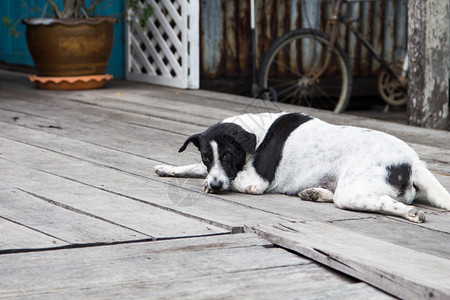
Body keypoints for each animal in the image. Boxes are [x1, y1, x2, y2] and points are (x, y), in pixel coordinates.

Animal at [156, 112, 450, 223]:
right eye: (207, 156)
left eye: (228, 156)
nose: (216, 185)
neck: (257, 132)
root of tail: (413, 160)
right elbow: (192, 167)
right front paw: (170, 168)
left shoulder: (254, 183)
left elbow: (234, 178)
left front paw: (208, 183)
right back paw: (315, 193)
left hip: (352, 191)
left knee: (383, 202)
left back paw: (410, 212)